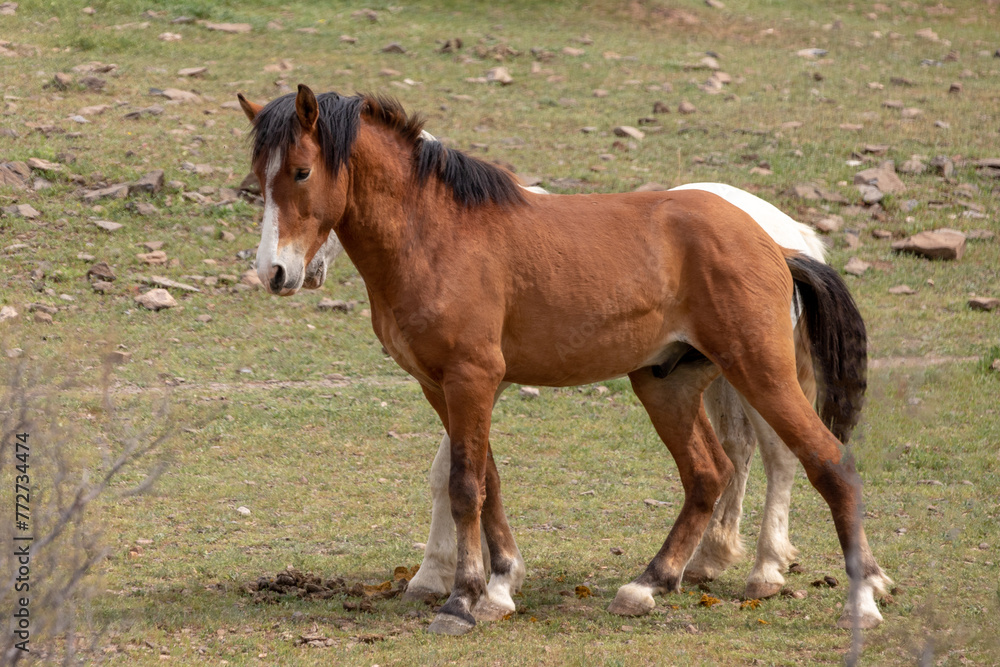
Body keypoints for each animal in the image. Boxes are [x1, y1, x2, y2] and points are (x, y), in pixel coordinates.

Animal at [307, 169, 830, 602]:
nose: (303, 273)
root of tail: (786, 232)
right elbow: (463, 473)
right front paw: (450, 574)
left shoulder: (477, 379)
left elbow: (456, 473)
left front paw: (453, 576)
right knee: (735, 451)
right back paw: (706, 561)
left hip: (755, 368)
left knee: (779, 455)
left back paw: (765, 570)